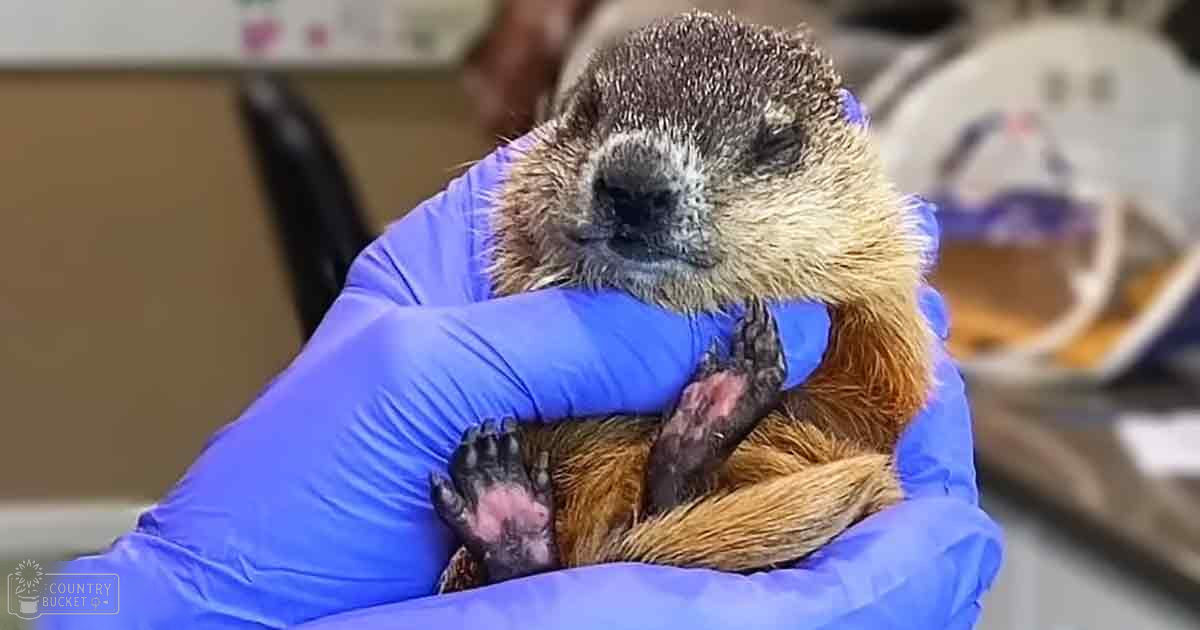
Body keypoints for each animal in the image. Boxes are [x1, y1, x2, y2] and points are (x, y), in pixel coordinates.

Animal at [429, 11, 934, 591]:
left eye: (777, 140)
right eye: (587, 107)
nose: (634, 179)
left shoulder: (881, 290)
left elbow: (874, 400)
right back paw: (503, 507)